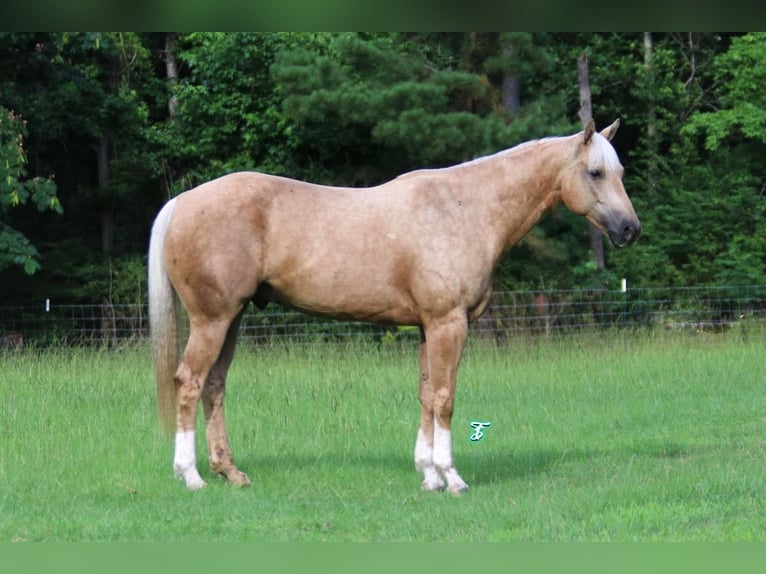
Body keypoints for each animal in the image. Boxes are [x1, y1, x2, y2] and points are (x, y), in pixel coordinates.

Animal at [150, 118, 640, 496]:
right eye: (595, 172)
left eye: (619, 170)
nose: (630, 230)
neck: (464, 208)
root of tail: (180, 202)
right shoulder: (448, 325)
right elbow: (445, 398)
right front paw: (451, 477)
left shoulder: (426, 328)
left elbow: (425, 394)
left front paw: (428, 476)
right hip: (212, 320)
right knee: (189, 382)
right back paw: (190, 476)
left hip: (231, 319)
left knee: (214, 387)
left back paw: (229, 472)